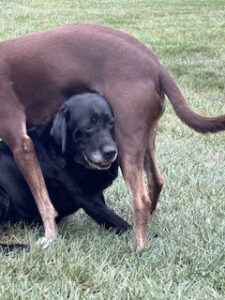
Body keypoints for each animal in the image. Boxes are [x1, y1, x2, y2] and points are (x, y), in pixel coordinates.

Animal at [0, 92, 130, 252]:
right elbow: (115, 220)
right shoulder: (87, 198)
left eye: (111, 123)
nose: (111, 152)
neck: (69, 154)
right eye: (88, 128)